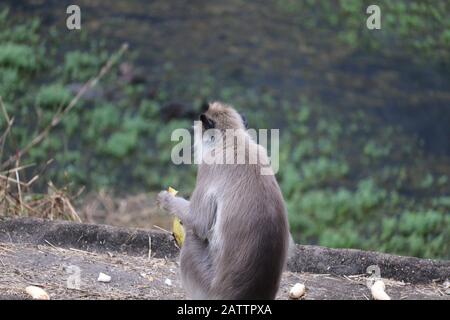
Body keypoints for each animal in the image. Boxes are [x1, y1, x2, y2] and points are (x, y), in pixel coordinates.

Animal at [158, 101, 290, 298]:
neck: (233, 142)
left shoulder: (208, 167)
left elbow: (199, 222)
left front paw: (165, 200)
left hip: (205, 283)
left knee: (191, 237)